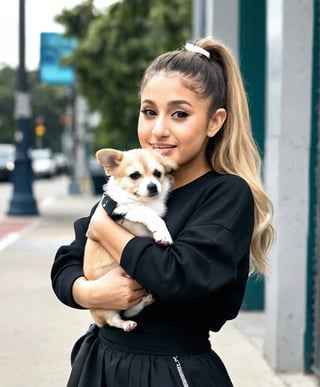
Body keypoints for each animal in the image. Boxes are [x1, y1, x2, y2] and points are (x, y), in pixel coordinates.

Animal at [84, 149, 176, 334]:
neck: (143, 201)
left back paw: (144, 302)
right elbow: (150, 215)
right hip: (107, 304)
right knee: (113, 319)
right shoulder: (126, 210)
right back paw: (125, 324)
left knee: (129, 310)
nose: (153, 186)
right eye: (134, 175)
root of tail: (97, 319)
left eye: (158, 173)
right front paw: (163, 234)